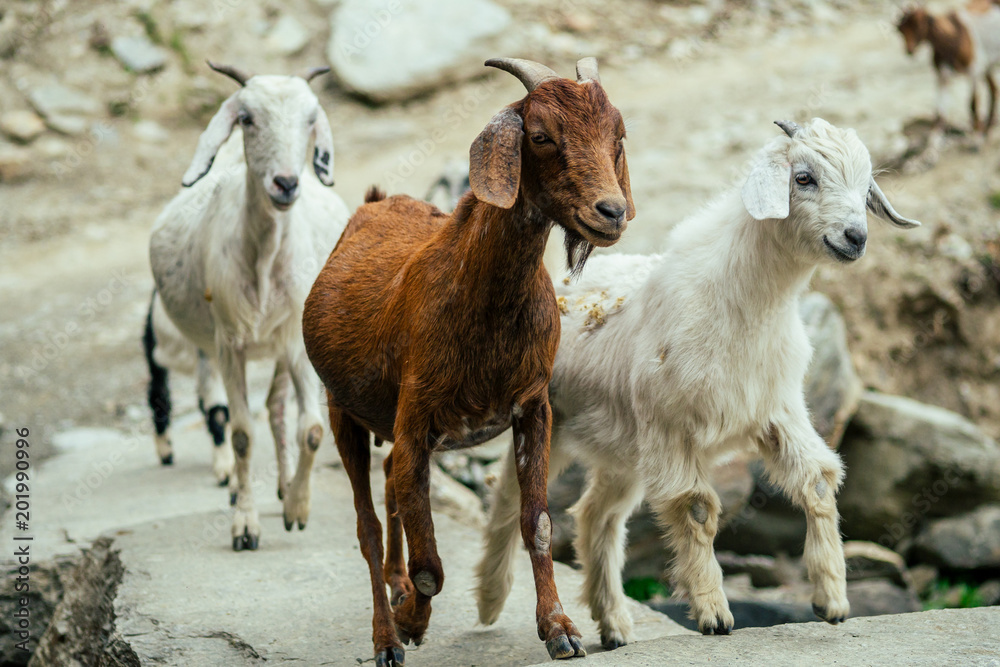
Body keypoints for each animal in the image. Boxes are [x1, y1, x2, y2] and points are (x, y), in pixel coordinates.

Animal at [149, 62, 350, 550]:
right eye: (247, 118)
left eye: (311, 119)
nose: (286, 183)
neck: (264, 260)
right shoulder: (228, 344)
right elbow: (240, 434)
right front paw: (244, 526)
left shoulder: (297, 343)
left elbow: (311, 429)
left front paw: (298, 508)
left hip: (282, 346)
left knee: (276, 410)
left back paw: (284, 488)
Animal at [302, 57, 634, 665]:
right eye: (541, 135)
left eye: (616, 135)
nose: (612, 211)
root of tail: (376, 201)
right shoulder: (415, 416)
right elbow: (430, 567)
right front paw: (411, 621)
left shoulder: (532, 407)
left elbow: (539, 524)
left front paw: (560, 629)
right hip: (343, 410)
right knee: (368, 523)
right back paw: (387, 636)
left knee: (391, 486)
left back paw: (396, 590)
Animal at [476, 118, 921, 648]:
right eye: (804, 178)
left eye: (865, 184)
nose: (855, 237)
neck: (747, 303)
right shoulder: (672, 430)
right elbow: (696, 509)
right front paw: (714, 613)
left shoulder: (777, 412)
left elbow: (816, 480)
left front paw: (831, 599)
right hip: (554, 426)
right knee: (512, 497)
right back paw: (491, 598)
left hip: (623, 449)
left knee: (596, 515)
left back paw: (614, 623)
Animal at [898, 1, 1000, 135]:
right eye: (901, 30)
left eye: (918, 25)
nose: (909, 50)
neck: (954, 36)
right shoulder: (942, 74)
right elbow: (940, 110)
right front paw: (934, 136)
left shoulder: (974, 72)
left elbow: (973, 103)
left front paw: (976, 131)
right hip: (988, 65)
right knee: (993, 88)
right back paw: (989, 124)